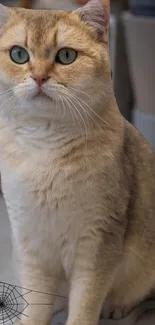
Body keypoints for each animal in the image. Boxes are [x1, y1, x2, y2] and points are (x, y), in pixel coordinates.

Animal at [0, 0, 154, 324]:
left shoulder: (97, 242)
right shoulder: (29, 241)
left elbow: (85, 302)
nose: (39, 77)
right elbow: (37, 301)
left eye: (66, 56)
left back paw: (119, 307)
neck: (44, 149)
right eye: (19, 54)